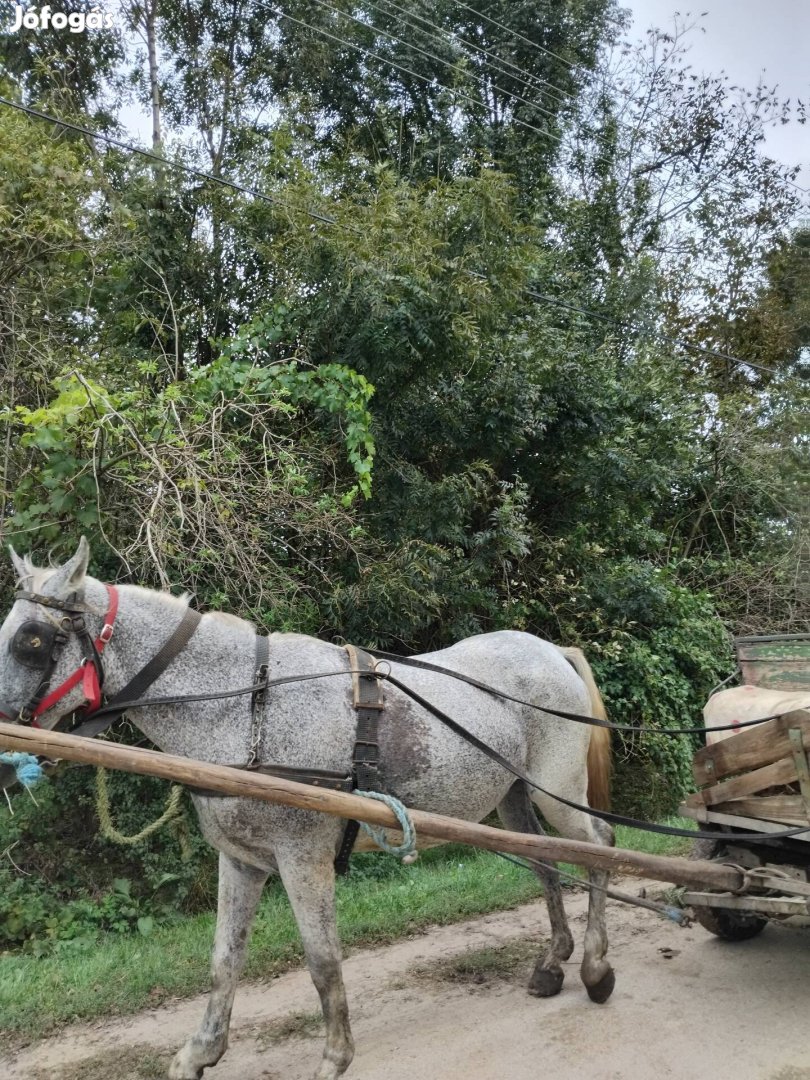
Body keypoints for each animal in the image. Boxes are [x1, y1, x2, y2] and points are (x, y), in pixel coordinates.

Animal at [0, 540, 613, 1080]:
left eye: (31, 639)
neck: (247, 709)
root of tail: (551, 650)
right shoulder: (242, 861)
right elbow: (224, 959)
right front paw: (200, 1053)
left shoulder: (303, 857)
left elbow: (322, 960)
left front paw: (335, 1057)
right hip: (514, 799)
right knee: (547, 864)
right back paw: (553, 963)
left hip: (556, 788)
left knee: (599, 848)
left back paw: (595, 967)